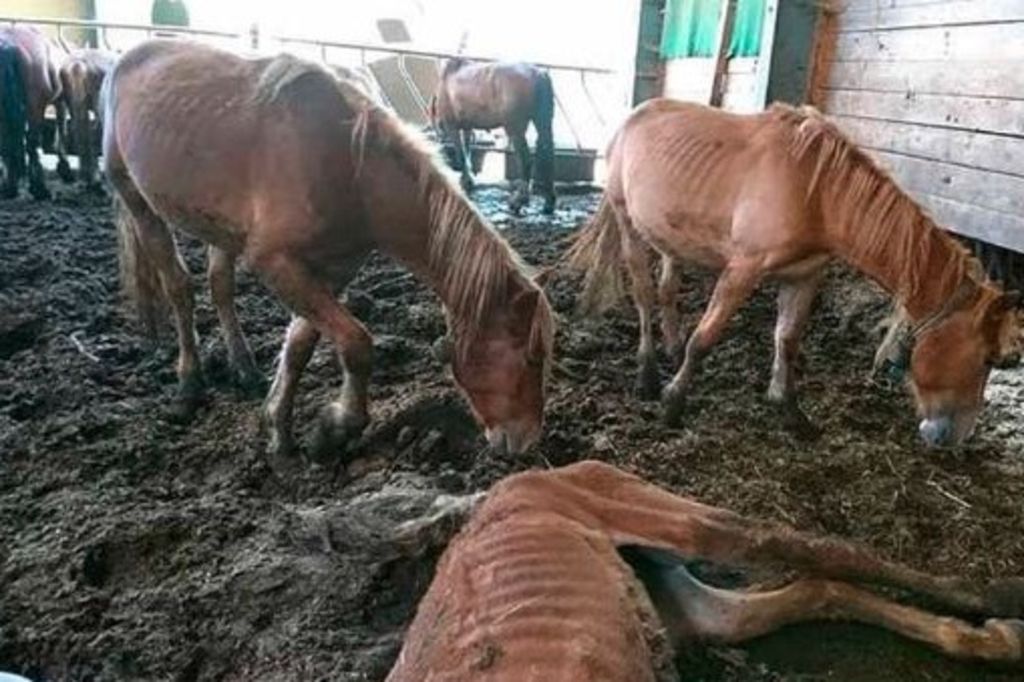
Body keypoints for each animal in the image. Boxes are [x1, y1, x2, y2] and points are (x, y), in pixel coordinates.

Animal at [0, 25, 67, 199]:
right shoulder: (59, 101)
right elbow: (61, 129)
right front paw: (64, 168)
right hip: (34, 106)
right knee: (31, 142)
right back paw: (39, 188)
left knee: (9, 143)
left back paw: (10, 187)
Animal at [388, 460, 1024, 680]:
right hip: (689, 610)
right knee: (819, 590)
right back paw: (991, 638)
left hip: (665, 515)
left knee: (818, 547)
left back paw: (997, 598)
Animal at [430, 58, 556, 215]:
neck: (448, 77)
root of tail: (538, 74)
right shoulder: (467, 127)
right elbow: (467, 151)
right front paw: (468, 180)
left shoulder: (452, 126)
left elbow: (461, 155)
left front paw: (466, 182)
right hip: (543, 124)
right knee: (548, 157)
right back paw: (549, 202)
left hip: (515, 128)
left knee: (526, 160)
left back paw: (518, 201)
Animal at [568, 99, 1021, 448]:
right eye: (987, 359)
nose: (957, 437)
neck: (819, 193)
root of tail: (634, 117)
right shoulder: (742, 270)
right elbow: (706, 338)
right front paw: (673, 401)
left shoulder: (805, 277)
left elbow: (787, 340)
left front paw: (788, 409)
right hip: (628, 224)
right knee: (645, 294)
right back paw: (647, 372)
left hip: (670, 238)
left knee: (667, 291)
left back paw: (671, 348)